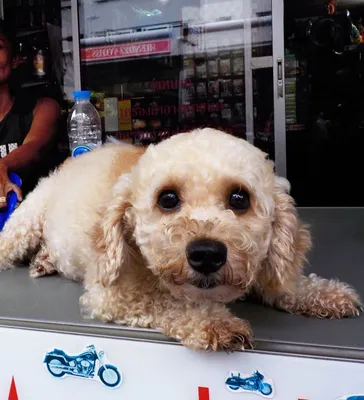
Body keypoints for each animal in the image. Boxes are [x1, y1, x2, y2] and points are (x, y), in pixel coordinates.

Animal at [0, 128, 362, 350]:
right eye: (168, 198)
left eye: (240, 198)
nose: (206, 254)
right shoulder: (113, 296)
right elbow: (169, 302)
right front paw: (214, 323)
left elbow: (285, 285)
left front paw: (326, 294)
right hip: (24, 224)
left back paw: (44, 260)